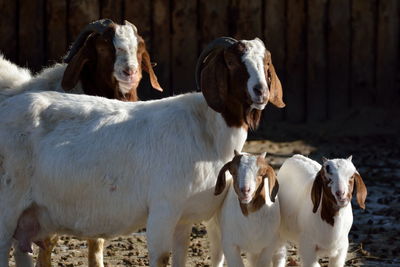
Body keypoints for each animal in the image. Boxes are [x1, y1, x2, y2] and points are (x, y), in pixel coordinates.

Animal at [0, 36, 284, 266]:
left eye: (266, 63)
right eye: (233, 62)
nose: (261, 91)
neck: (207, 129)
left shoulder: (184, 218)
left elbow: (180, 258)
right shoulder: (162, 209)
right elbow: (161, 258)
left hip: (26, 217)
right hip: (7, 205)